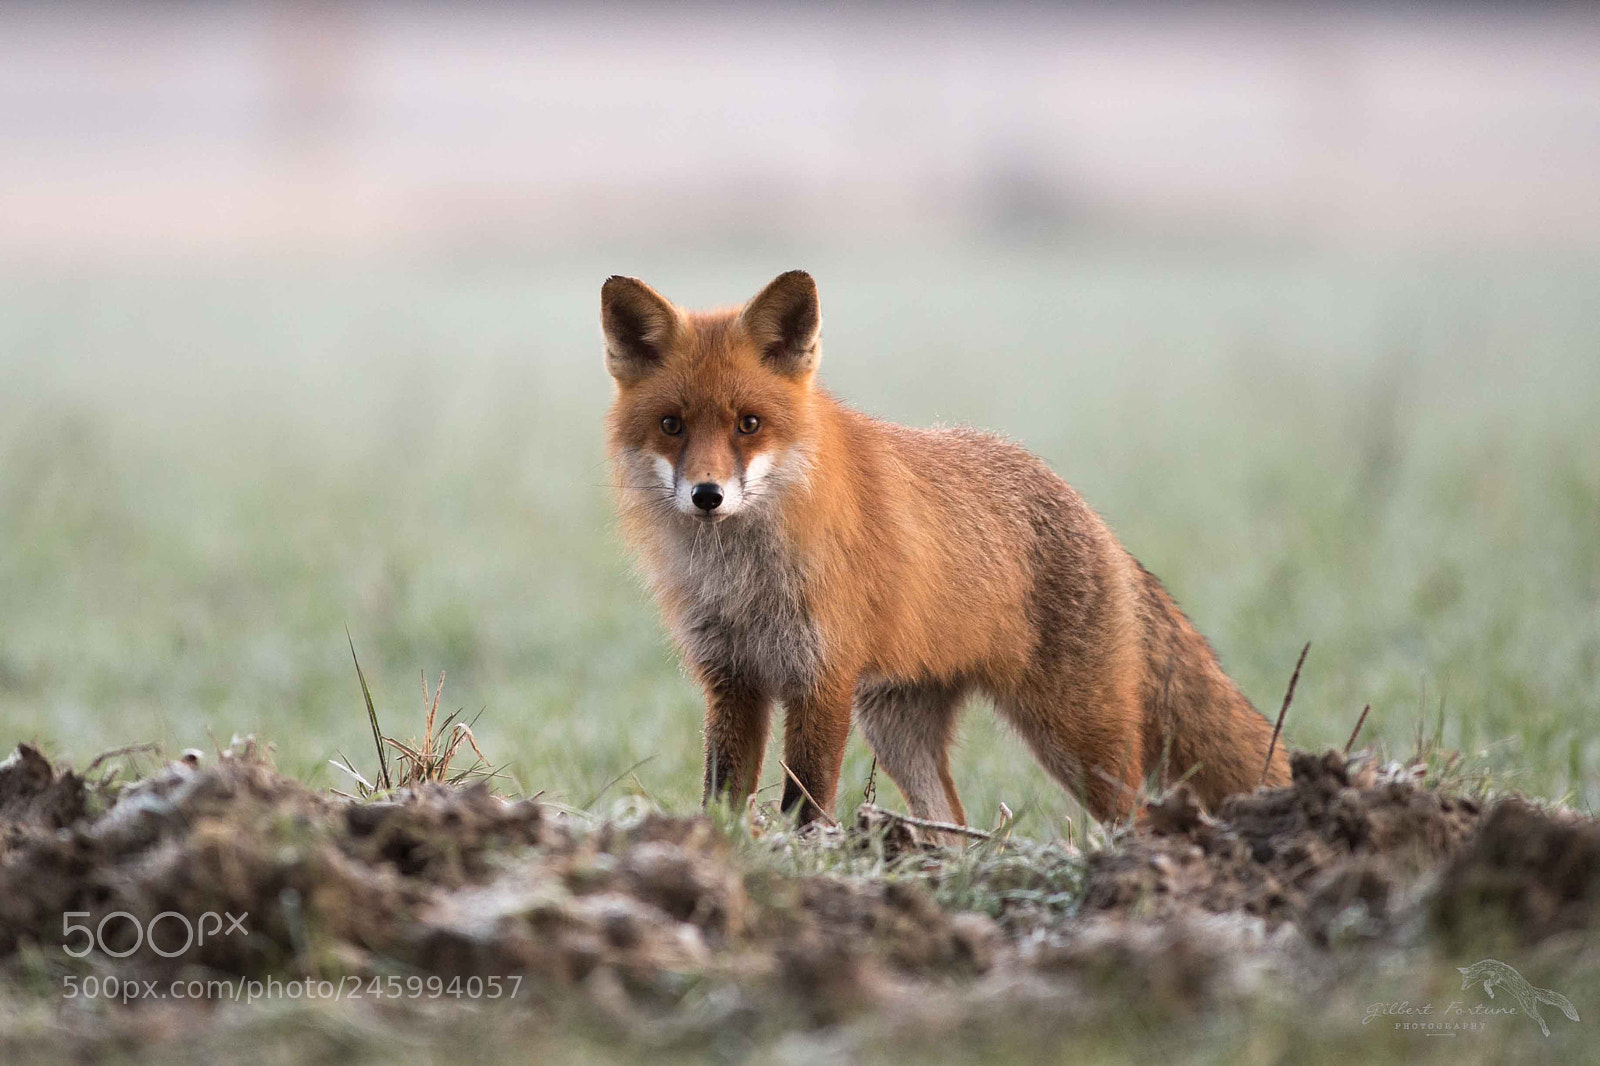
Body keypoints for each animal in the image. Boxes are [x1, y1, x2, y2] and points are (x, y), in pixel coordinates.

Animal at [601, 269, 1290, 832]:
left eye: (748, 424)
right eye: (671, 425)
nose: (707, 495)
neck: (743, 579)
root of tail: (1096, 521)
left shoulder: (823, 679)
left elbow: (807, 802)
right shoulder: (733, 680)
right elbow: (720, 799)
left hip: (1077, 736)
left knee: (1137, 818)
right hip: (898, 730)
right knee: (952, 822)